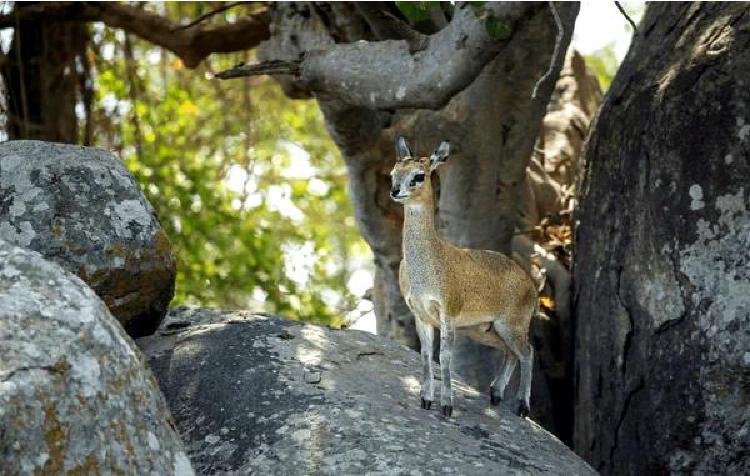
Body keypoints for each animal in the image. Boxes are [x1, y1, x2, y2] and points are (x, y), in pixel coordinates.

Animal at [394, 135, 540, 416]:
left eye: (419, 175)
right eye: (393, 173)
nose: (395, 191)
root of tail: (533, 286)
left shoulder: (448, 311)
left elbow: (445, 356)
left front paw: (447, 405)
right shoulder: (420, 312)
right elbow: (426, 355)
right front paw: (425, 400)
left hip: (512, 323)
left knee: (528, 351)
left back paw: (522, 406)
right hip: (484, 329)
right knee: (510, 352)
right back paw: (495, 393)